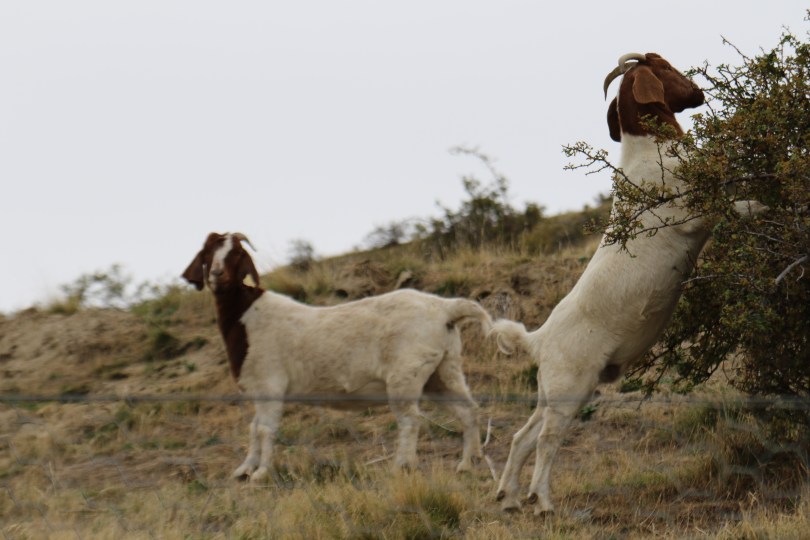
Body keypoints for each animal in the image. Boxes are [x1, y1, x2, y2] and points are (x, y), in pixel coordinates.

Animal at [182, 232, 491, 481]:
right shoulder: (259, 388)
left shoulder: (270, 383)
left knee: (411, 420)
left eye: (236, 253)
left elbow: (265, 430)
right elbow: (253, 427)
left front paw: (261, 474)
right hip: (443, 370)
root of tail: (445, 308)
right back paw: (467, 463)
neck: (246, 318)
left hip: (407, 374)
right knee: (468, 410)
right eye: (207, 252)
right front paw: (244, 470)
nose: (217, 274)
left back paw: (400, 467)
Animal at [492, 53, 766, 514]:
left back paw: (509, 497)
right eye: (664, 66)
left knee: (521, 436)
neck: (651, 151)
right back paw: (542, 502)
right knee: (546, 440)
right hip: (570, 387)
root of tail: (539, 339)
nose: (698, 91)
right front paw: (769, 205)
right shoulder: (695, 212)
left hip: (551, 390)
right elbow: (739, 204)